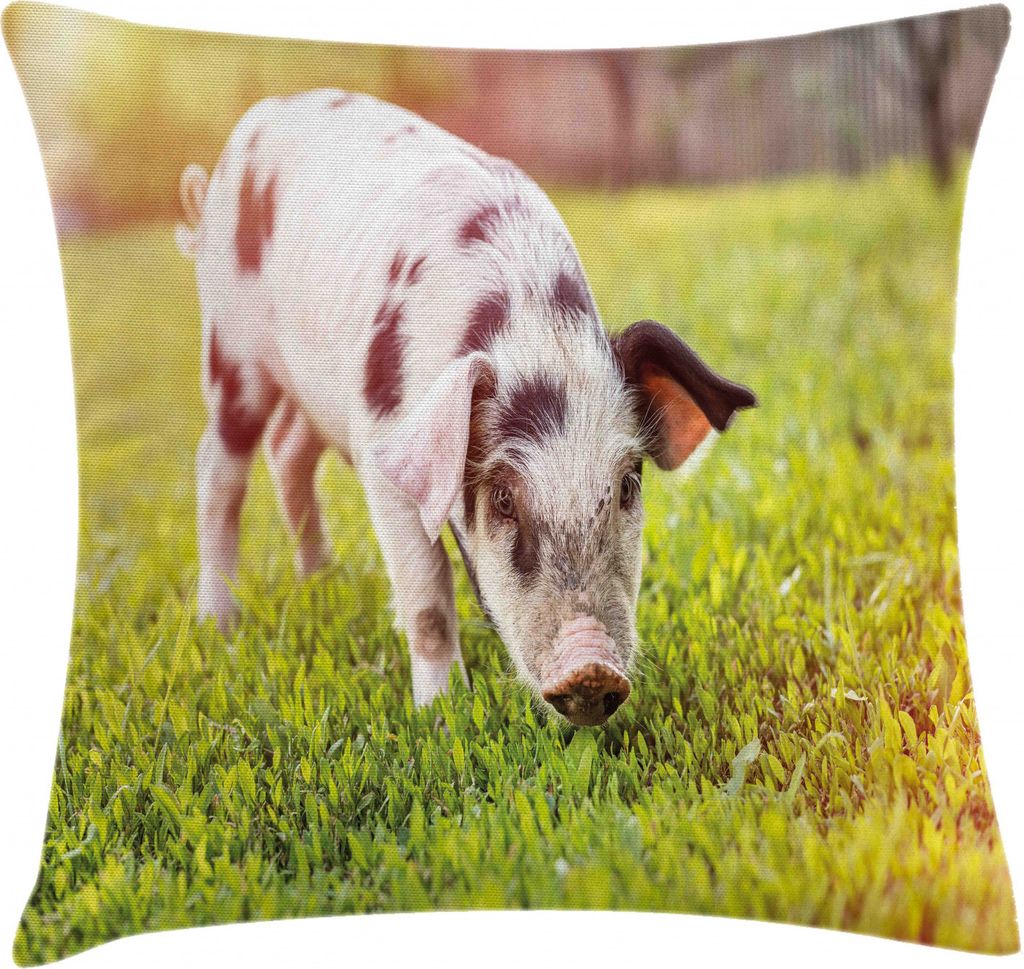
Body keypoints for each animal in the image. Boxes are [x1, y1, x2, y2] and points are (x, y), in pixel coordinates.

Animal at [177, 89, 756, 726]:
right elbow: (429, 594)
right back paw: (220, 625)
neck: (532, 326)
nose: (590, 665)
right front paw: (441, 713)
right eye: (502, 497)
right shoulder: (385, 455)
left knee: (288, 451)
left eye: (629, 485)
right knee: (217, 467)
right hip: (231, 345)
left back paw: (322, 581)